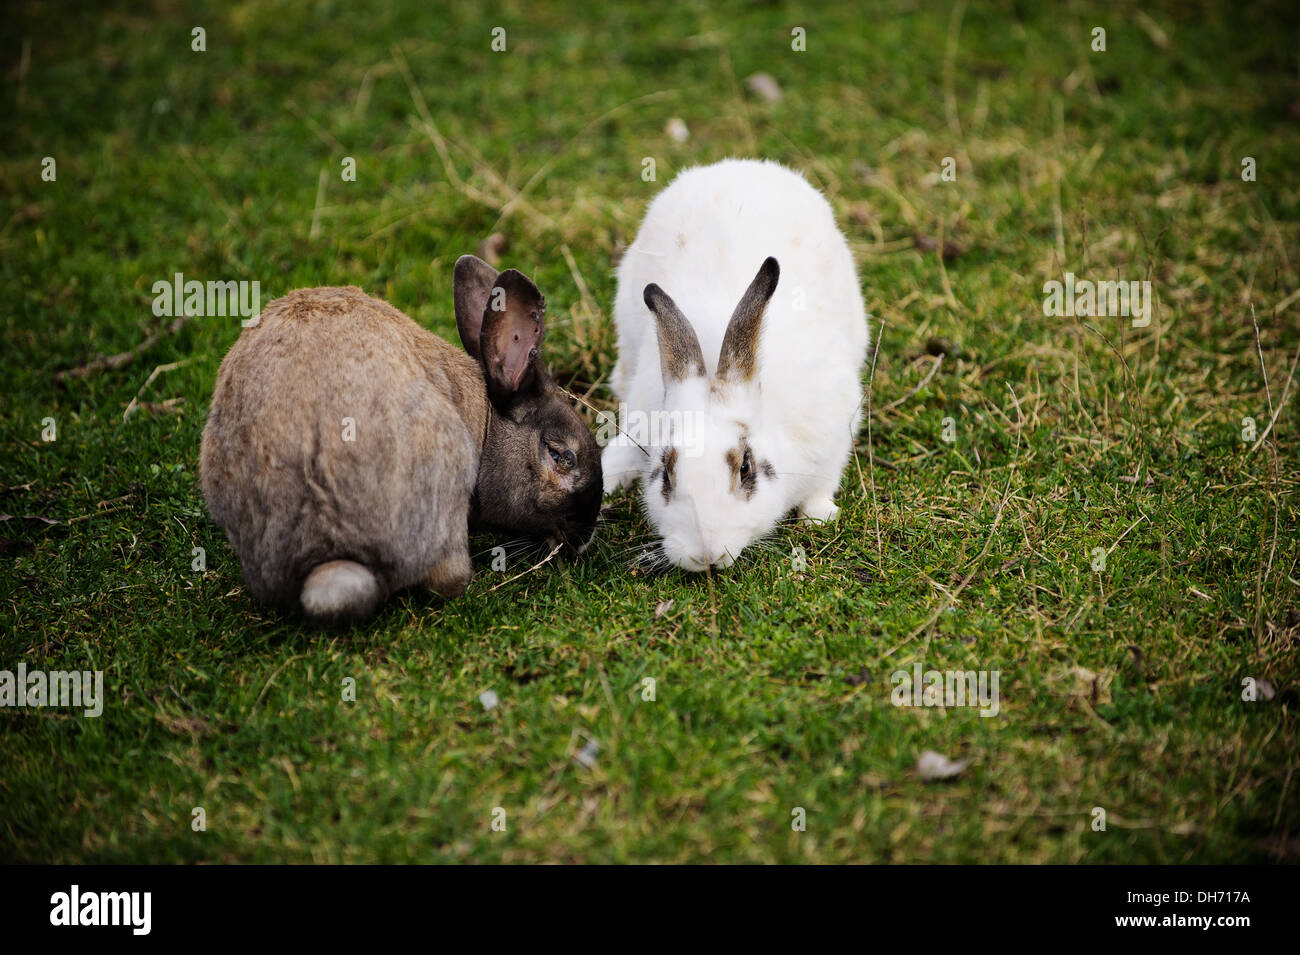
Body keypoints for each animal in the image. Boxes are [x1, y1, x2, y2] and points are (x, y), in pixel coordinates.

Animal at [602, 159, 869, 572]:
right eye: (665, 475)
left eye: (746, 468)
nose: (706, 555)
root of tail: (737, 165)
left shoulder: (836, 430)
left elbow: (825, 482)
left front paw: (819, 515)